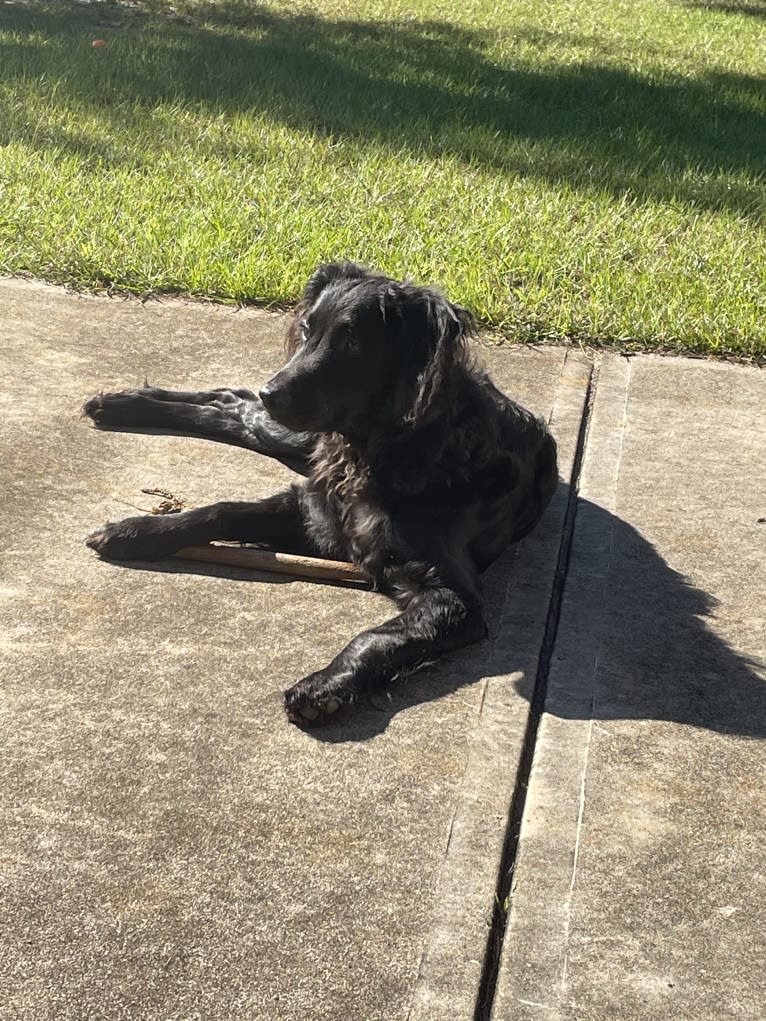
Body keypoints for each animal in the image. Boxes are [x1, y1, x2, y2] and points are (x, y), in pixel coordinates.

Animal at [85, 263, 559, 726]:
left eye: (351, 341)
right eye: (308, 328)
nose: (272, 391)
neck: (390, 452)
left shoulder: (451, 596)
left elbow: (375, 637)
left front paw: (324, 687)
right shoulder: (314, 513)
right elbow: (221, 509)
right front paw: (136, 530)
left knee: (232, 406)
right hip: (295, 434)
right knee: (234, 402)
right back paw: (123, 402)